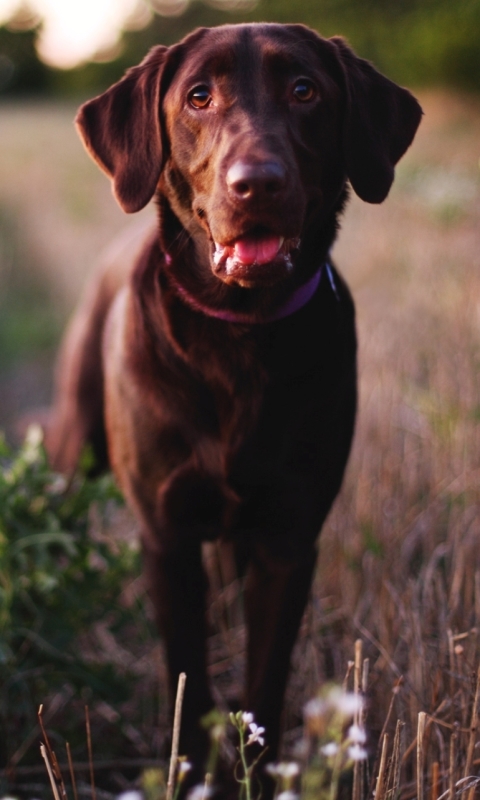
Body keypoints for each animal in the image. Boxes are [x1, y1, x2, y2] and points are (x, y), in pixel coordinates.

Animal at [46, 23, 420, 792]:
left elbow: (266, 678)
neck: (239, 338)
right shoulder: (167, 537)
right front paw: (191, 775)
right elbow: (187, 674)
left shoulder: (288, 537)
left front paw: (260, 773)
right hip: (75, 446)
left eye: (305, 90)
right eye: (198, 96)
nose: (259, 182)